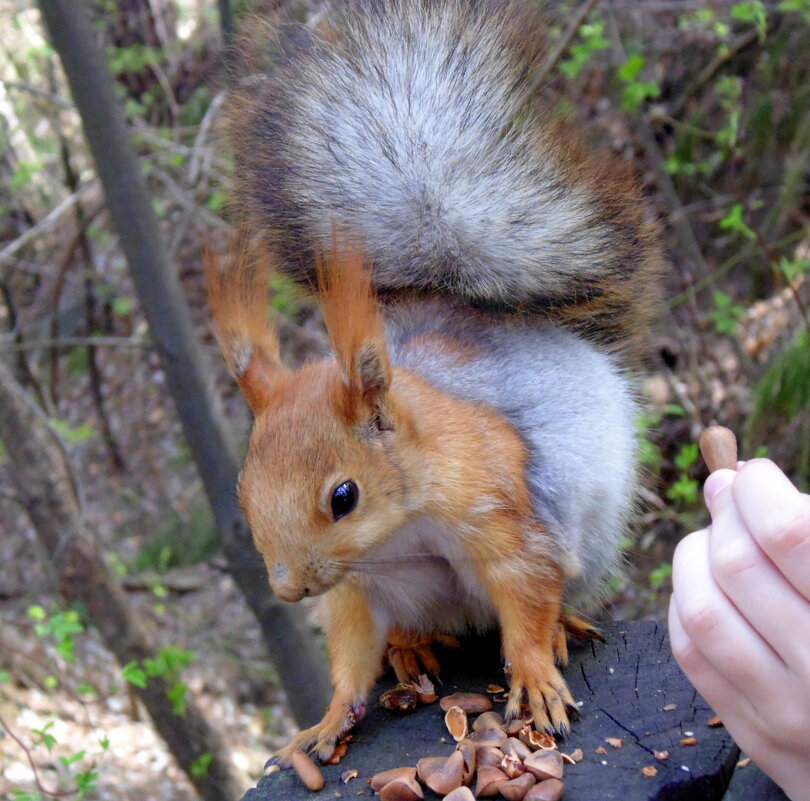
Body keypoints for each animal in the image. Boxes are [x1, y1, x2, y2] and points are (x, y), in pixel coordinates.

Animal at [208, 0, 664, 764]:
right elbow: (351, 652)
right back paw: (411, 648)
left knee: (555, 594)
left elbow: (527, 591)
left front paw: (535, 675)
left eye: (344, 496)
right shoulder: (356, 590)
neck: (395, 537)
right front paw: (328, 719)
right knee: (412, 628)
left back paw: (562, 626)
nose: (291, 588)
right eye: (241, 493)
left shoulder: (503, 515)